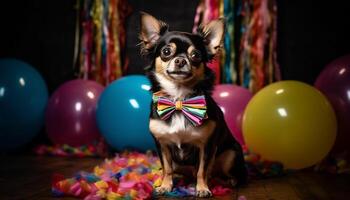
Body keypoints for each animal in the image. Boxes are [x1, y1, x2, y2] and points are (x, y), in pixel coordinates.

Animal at [138, 12, 247, 198]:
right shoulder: (162, 144)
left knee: (226, 173)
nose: (181, 61)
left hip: (230, 154)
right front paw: (165, 186)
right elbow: (167, 169)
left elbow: (202, 170)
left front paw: (202, 188)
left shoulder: (206, 145)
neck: (179, 99)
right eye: (166, 51)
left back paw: (228, 180)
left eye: (195, 55)